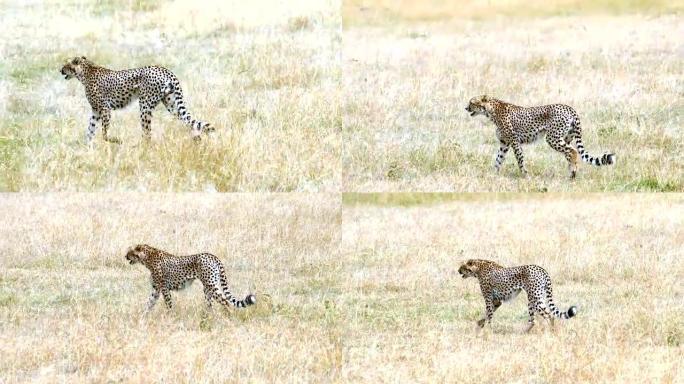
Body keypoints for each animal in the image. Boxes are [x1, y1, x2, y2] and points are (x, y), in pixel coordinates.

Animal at [60, 55, 212, 142]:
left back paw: (142, 149)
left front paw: (114, 140)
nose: (60, 70)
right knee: (188, 120)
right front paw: (88, 148)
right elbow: (90, 130)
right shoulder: (96, 111)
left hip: (145, 105)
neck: (85, 72)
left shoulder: (105, 109)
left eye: (66, 65)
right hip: (172, 104)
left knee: (147, 133)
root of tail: (164, 69)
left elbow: (104, 132)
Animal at [124, 246, 255, 312]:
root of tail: (212, 256)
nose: (125, 256)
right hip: (207, 288)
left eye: (130, 252)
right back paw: (208, 318)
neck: (147, 258)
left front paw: (169, 317)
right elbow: (149, 304)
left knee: (225, 302)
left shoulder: (164, 288)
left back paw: (227, 317)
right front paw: (142, 317)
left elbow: (168, 305)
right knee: (210, 305)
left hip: (211, 285)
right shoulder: (156, 290)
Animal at [464, 96, 616, 180]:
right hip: (566, 137)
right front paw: (493, 173)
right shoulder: (504, 143)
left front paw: (525, 175)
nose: (466, 107)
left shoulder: (514, 141)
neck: (491, 111)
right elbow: (498, 159)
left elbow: (520, 159)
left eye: (472, 102)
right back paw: (571, 174)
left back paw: (572, 173)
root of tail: (569, 108)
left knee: (572, 151)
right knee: (569, 152)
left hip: (552, 138)